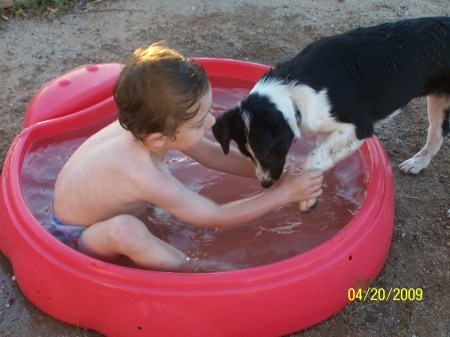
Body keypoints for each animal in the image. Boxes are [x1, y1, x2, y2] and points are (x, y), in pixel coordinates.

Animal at [213, 16, 450, 213]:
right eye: (247, 154)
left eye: (271, 151)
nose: (266, 184)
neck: (292, 90)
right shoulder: (326, 129)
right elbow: (320, 156)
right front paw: (312, 190)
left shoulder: (359, 127)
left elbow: (313, 157)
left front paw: (307, 200)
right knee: (436, 136)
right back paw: (417, 163)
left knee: (436, 135)